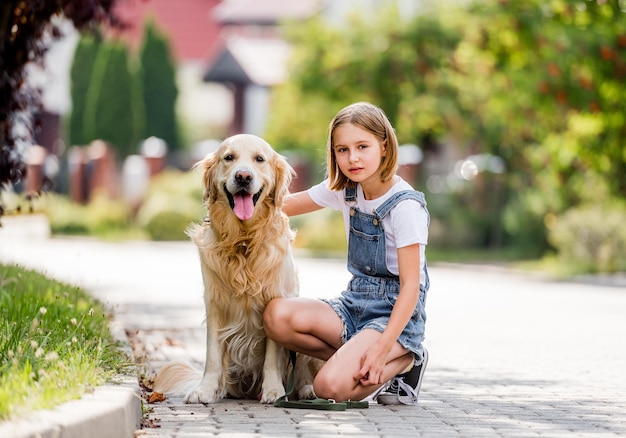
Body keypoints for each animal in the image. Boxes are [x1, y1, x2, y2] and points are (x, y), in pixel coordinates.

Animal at [152, 133, 316, 404]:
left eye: (259, 159)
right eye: (228, 157)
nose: (243, 177)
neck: (243, 241)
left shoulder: (276, 300)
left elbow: (272, 357)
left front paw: (274, 390)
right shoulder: (214, 303)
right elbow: (212, 356)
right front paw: (205, 390)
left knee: (302, 371)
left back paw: (306, 391)